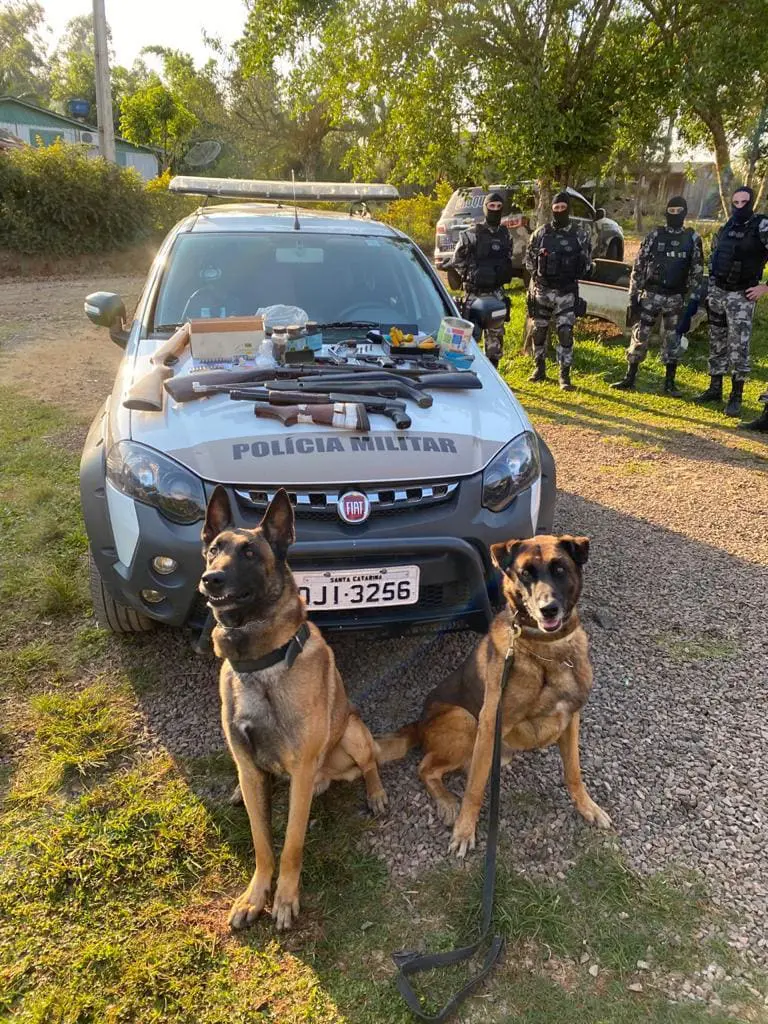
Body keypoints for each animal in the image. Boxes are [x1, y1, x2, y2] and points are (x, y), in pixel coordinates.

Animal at [199, 487, 387, 929]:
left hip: (353, 733)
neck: (259, 663)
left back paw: (375, 793)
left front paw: (284, 899)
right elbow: (262, 843)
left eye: (250, 553)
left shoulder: (300, 772)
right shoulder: (251, 766)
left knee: (370, 763)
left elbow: (291, 844)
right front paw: (255, 896)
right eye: (214, 550)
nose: (210, 579)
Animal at [378, 536, 614, 856]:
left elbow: (573, 772)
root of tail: (419, 723)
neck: (546, 650)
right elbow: (474, 788)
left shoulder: (571, 719)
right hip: (467, 721)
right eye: (525, 573)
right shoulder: (490, 723)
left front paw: (587, 806)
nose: (548, 609)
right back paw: (447, 802)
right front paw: (465, 830)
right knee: (425, 768)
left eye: (560, 569)